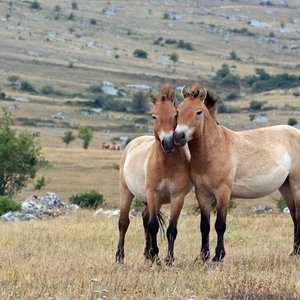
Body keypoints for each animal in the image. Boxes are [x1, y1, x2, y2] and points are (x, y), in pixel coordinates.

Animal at [116, 84, 191, 264]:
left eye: (175, 114)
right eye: (154, 116)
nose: (168, 142)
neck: (165, 165)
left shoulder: (177, 197)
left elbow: (171, 229)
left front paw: (168, 259)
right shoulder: (152, 194)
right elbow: (153, 226)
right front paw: (156, 255)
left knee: (144, 217)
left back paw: (147, 254)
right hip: (126, 191)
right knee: (124, 222)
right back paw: (120, 257)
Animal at [173, 83, 300, 262]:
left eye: (198, 112)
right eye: (178, 111)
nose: (178, 136)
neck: (214, 149)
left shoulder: (223, 192)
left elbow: (220, 225)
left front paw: (218, 256)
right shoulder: (202, 193)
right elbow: (204, 226)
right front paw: (203, 256)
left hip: (296, 184)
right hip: (285, 187)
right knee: (295, 216)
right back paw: (294, 252)